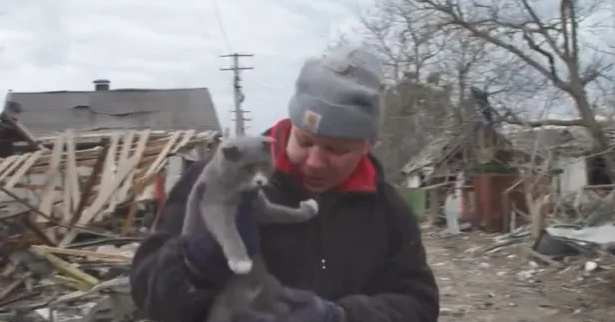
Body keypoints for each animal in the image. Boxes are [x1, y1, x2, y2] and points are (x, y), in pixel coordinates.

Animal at [182, 135, 318, 322]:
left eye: (264, 165)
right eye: (246, 168)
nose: (260, 181)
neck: (242, 193)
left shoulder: (259, 206)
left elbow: (284, 213)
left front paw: (309, 208)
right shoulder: (214, 200)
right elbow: (227, 230)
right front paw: (241, 262)